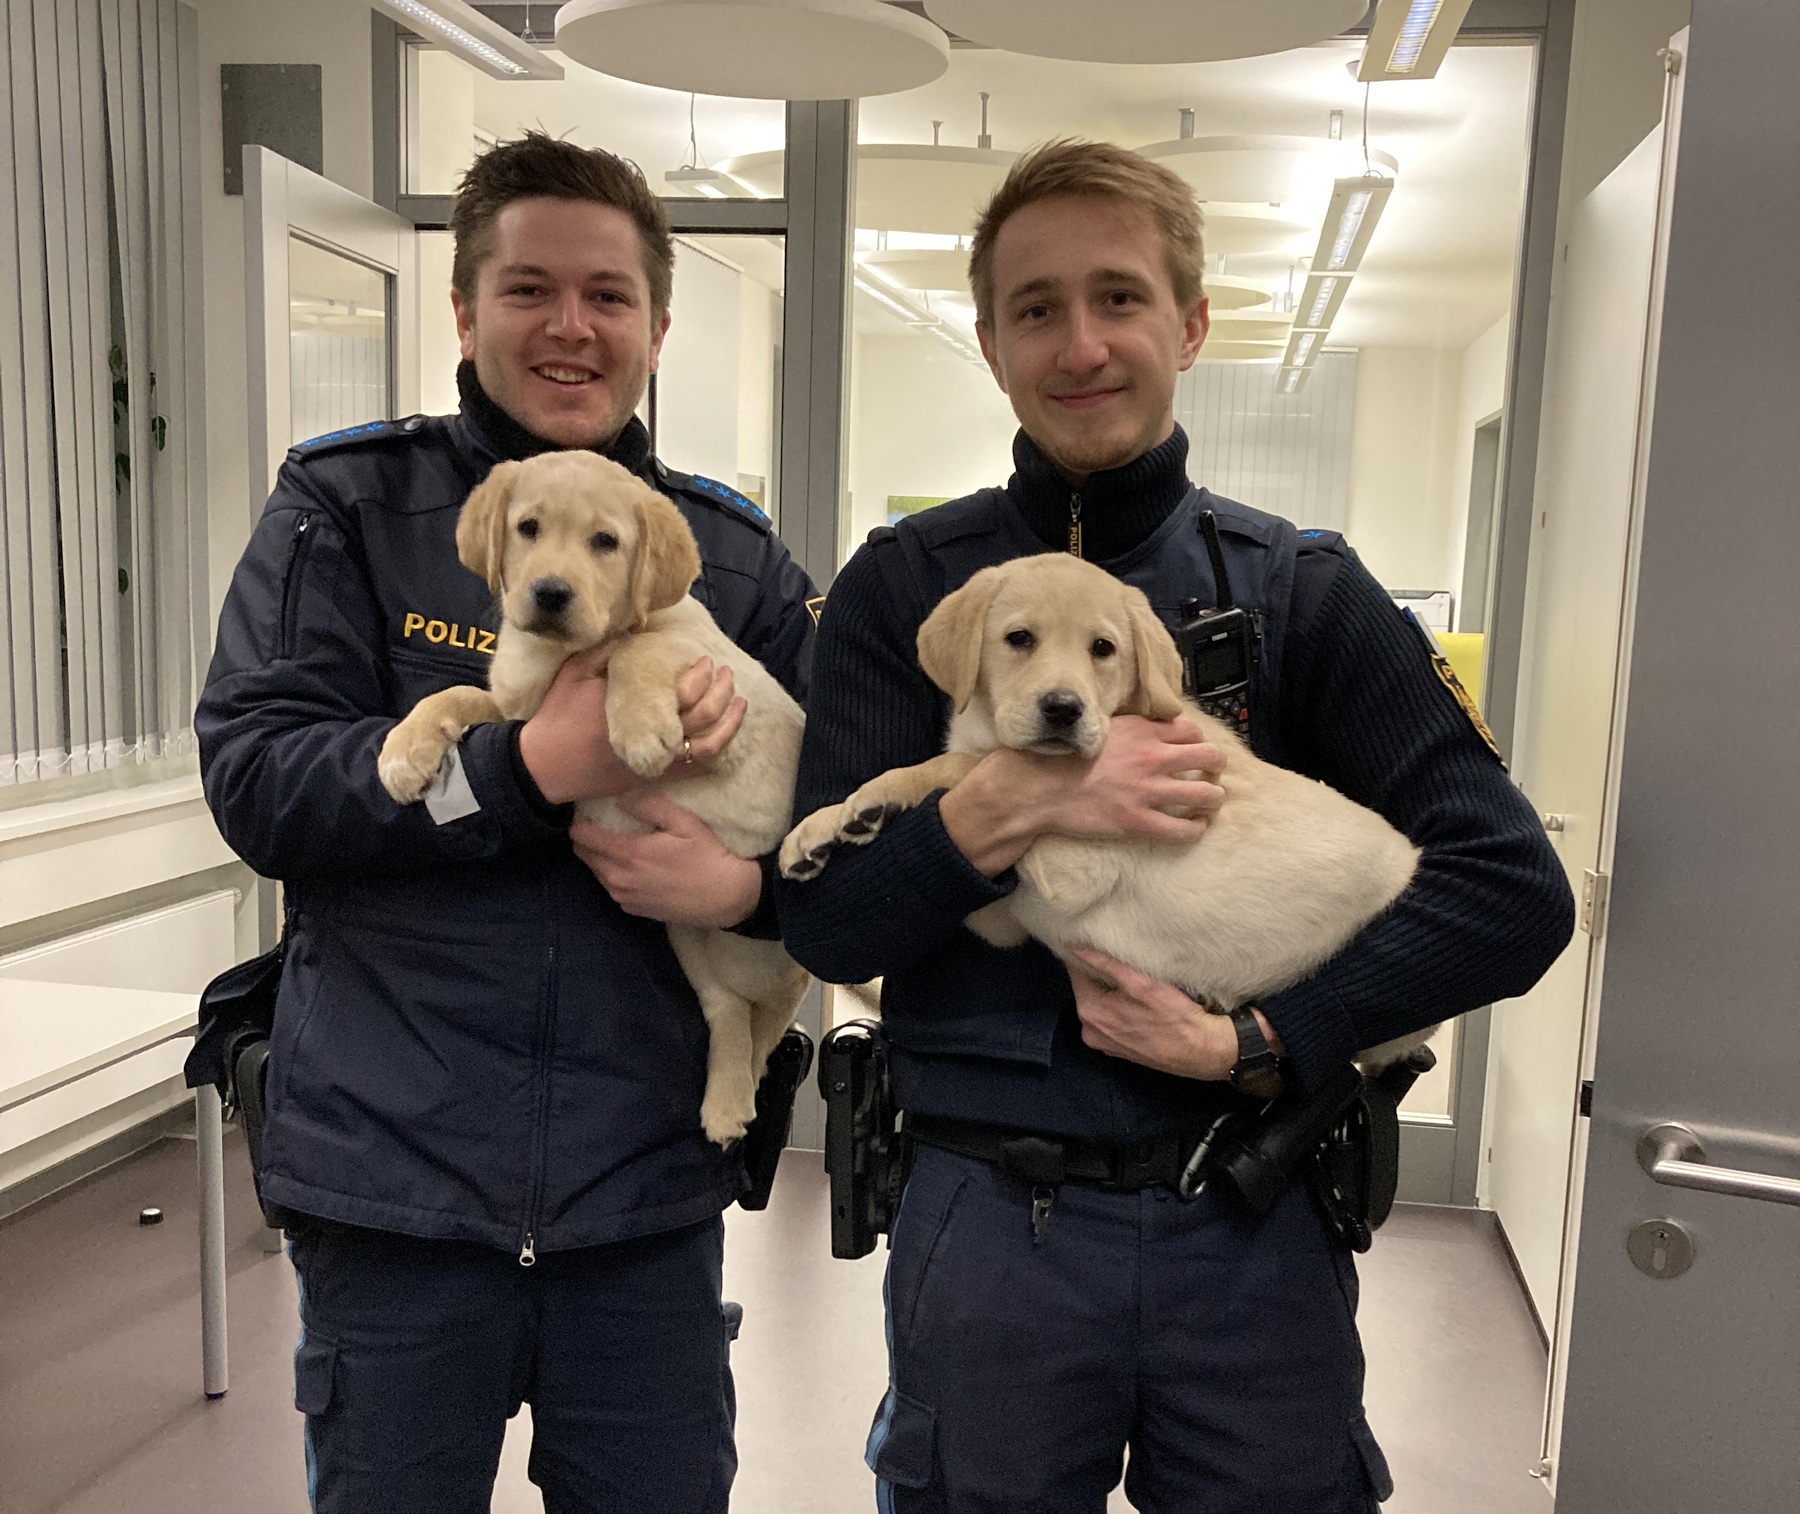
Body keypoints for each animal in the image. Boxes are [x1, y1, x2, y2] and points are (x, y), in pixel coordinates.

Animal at [385, 455, 810, 1137]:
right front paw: (403, 750)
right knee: (726, 1011)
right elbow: (456, 695)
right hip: (685, 932)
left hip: (779, 962)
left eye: (606, 542)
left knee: (767, 1023)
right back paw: (724, 1102)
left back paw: (742, 1094)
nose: (550, 592)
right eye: (528, 528)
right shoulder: (520, 715)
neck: (557, 656)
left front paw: (639, 732)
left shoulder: (733, 687)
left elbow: (639, 643)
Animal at [784, 550, 1432, 1065]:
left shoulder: (1069, 866)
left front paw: (877, 796)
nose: (1063, 708)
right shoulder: (1002, 917)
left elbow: (960, 767)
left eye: (1103, 649)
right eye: (1019, 639)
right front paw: (818, 829)